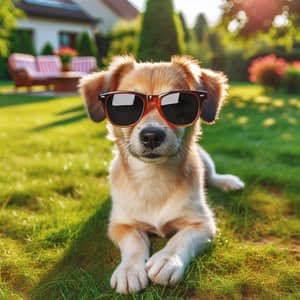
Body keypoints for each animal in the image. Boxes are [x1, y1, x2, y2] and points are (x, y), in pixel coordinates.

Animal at [79, 55, 244, 294]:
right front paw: (129, 269)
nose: (151, 136)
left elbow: (181, 239)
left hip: (205, 159)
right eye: (125, 105)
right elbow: (134, 242)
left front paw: (167, 260)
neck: (153, 179)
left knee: (212, 176)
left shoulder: (203, 224)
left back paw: (230, 182)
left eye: (180, 104)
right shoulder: (120, 225)